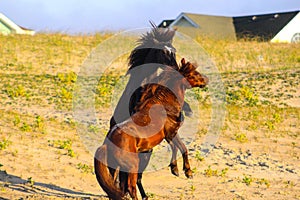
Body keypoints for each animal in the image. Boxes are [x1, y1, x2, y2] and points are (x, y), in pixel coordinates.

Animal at [95, 58, 207, 199]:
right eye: (194, 73)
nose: (206, 80)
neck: (164, 104)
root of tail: (107, 144)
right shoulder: (171, 133)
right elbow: (183, 148)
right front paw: (187, 172)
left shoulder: (168, 136)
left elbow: (176, 147)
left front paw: (175, 169)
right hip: (132, 166)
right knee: (130, 187)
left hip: (114, 167)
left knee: (116, 187)